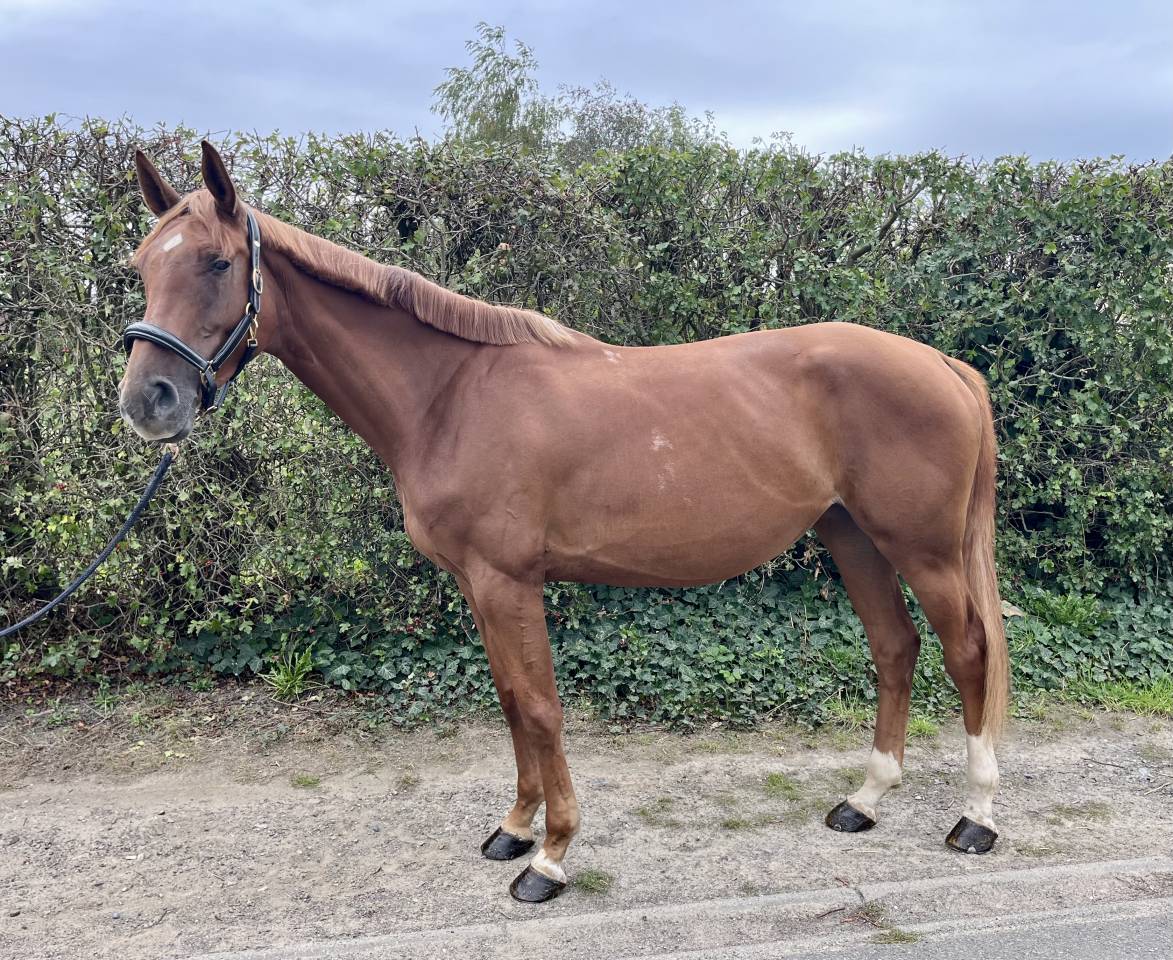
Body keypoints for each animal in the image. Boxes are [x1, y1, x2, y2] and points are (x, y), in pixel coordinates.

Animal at [120, 141, 1010, 903]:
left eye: (217, 261)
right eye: (141, 265)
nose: (147, 401)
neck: (451, 395)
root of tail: (945, 366)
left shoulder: (508, 581)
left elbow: (542, 708)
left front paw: (548, 858)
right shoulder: (478, 585)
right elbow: (513, 702)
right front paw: (513, 830)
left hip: (922, 548)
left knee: (966, 652)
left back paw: (975, 819)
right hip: (850, 535)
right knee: (894, 648)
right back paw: (864, 799)